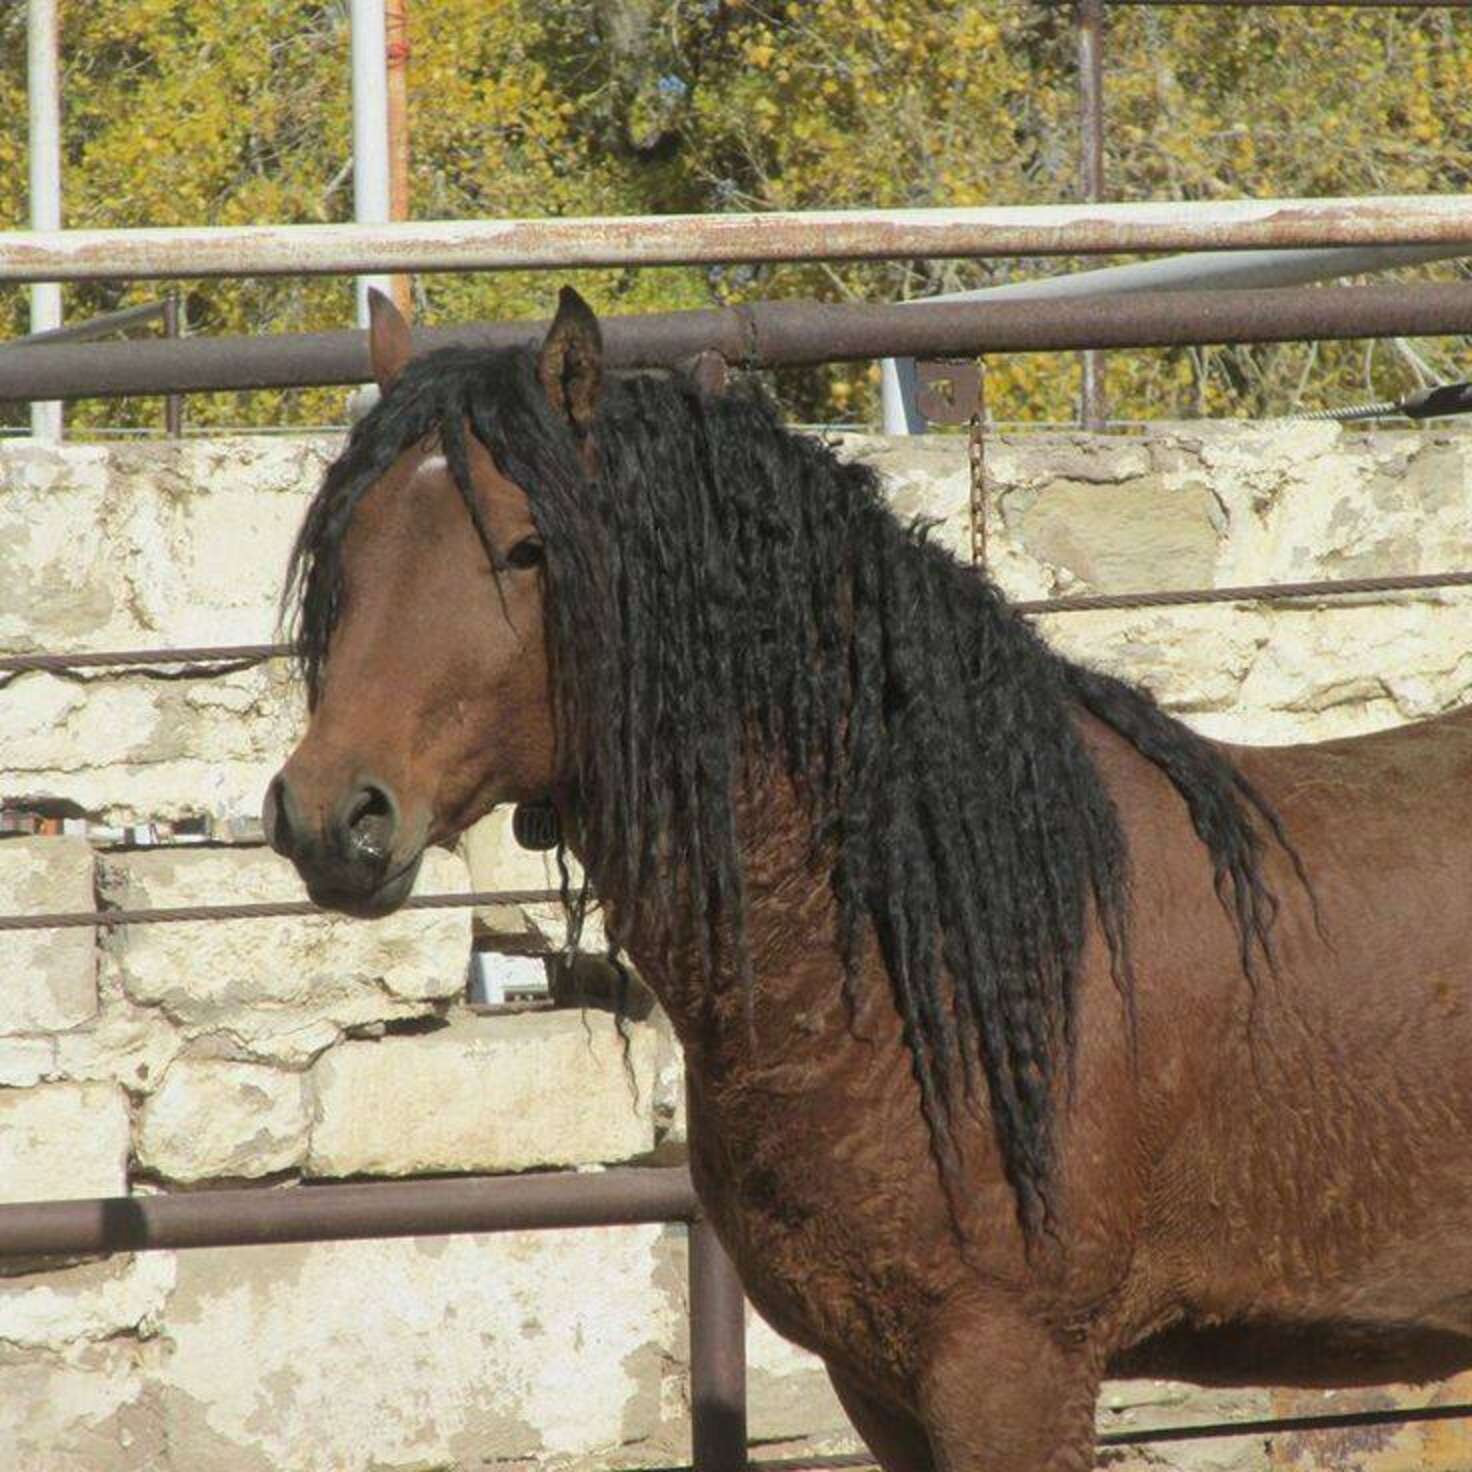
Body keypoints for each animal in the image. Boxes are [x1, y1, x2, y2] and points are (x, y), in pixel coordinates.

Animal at [262, 281, 1472, 1466]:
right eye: (347, 550)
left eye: (525, 548)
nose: (332, 816)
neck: (940, 945)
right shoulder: (877, 1381)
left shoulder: (1011, 1373)